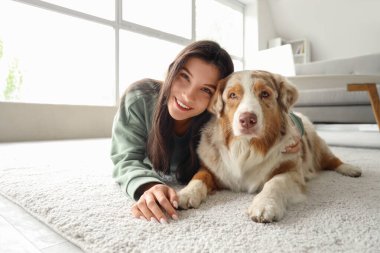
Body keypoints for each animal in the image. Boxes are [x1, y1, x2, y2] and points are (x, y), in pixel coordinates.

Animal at [178, 70, 362, 222]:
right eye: (232, 95)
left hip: (317, 144)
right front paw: (186, 193)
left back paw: (350, 169)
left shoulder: (292, 171)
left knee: (331, 159)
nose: (247, 119)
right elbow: (199, 176)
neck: (247, 147)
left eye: (265, 94)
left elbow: (275, 182)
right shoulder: (212, 167)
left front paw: (264, 205)